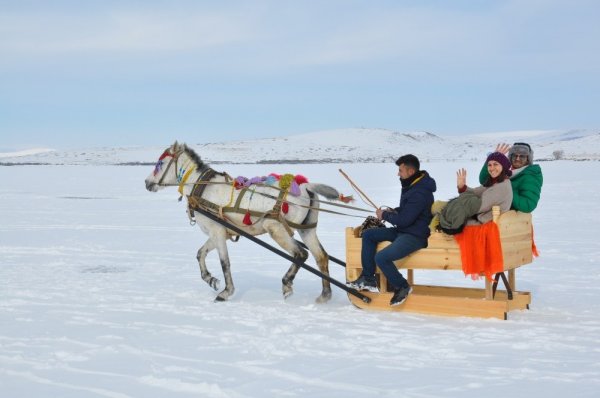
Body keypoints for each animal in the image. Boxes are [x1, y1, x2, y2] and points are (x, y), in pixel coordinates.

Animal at [145, 142, 342, 302]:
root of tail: (306, 186)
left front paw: (226, 292)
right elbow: (200, 253)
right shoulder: (220, 233)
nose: (147, 183)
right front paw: (210, 279)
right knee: (321, 257)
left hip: (276, 229)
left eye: (160, 163)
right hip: (306, 230)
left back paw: (287, 283)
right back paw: (325, 295)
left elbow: (225, 262)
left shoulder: (217, 231)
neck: (202, 187)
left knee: (301, 254)